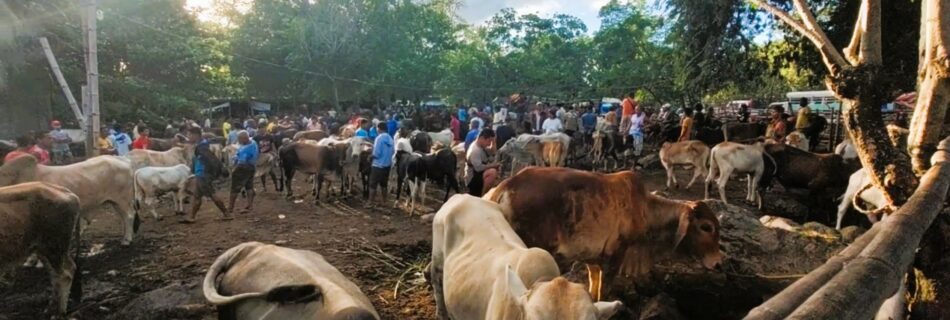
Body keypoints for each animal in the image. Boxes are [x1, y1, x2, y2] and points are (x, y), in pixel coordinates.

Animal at [0, 182, 82, 318]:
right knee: (57, 274)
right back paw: (50, 308)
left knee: (65, 274)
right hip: (44, 250)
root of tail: (69, 194)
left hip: (53, 248)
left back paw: (58, 312)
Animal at [484, 166, 720, 302]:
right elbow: (604, 291)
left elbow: (593, 286)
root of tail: (505, 187)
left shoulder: (593, 257)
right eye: (706, 227)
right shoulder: (617, 254)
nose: (718, 262)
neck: (645, 208)